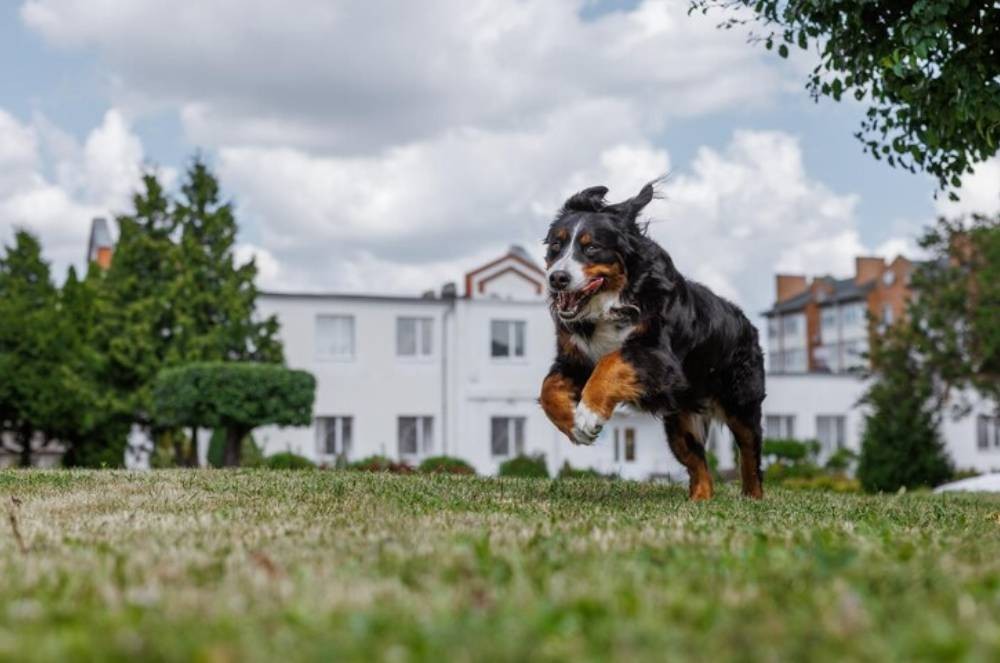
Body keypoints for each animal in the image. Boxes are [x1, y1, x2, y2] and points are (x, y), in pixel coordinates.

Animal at [540, 182, 764, 498]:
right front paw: (573, 425)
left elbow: (611, 361)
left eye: (592, 247)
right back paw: (699, 502)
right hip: (680, 423)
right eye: (556, 246)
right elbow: (548, 389)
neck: (612, 301)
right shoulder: (575, 359)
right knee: (701, 470)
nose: (557, 278)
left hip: (740, 401)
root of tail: (747, 323)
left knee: (750, 454)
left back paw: (753, 499)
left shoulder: (659, 357)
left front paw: (589, 416)